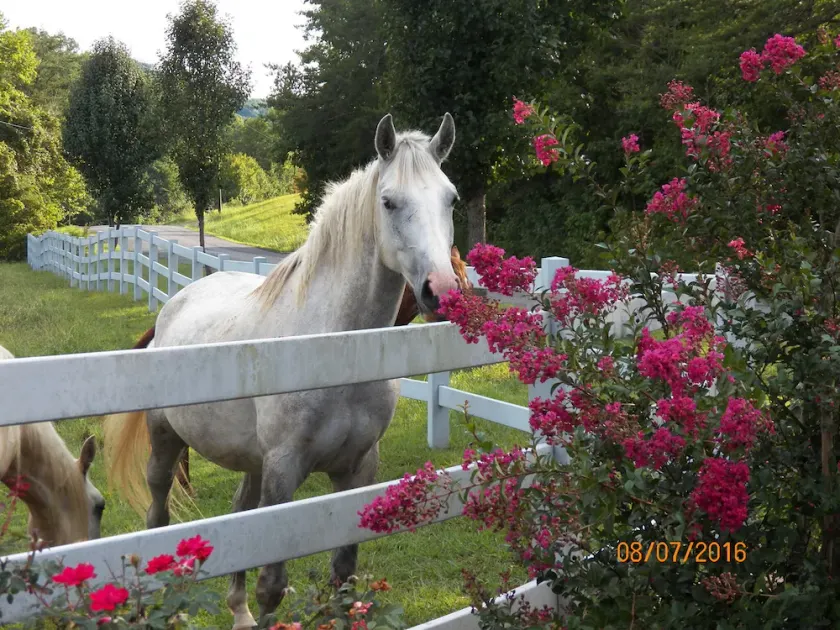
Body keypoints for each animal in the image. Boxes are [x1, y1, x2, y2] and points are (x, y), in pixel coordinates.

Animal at [103, 112, 461, 630]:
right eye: (389, 202)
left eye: (451, 199)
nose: (441, 290)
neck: (335, 352)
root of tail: (173, 306)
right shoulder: (283, 469)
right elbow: (273, 584)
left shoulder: (357, 469)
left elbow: (344, 577)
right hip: (166, 444)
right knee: (158, 516)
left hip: (251, 461)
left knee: (240, 513)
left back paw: (237, 610)